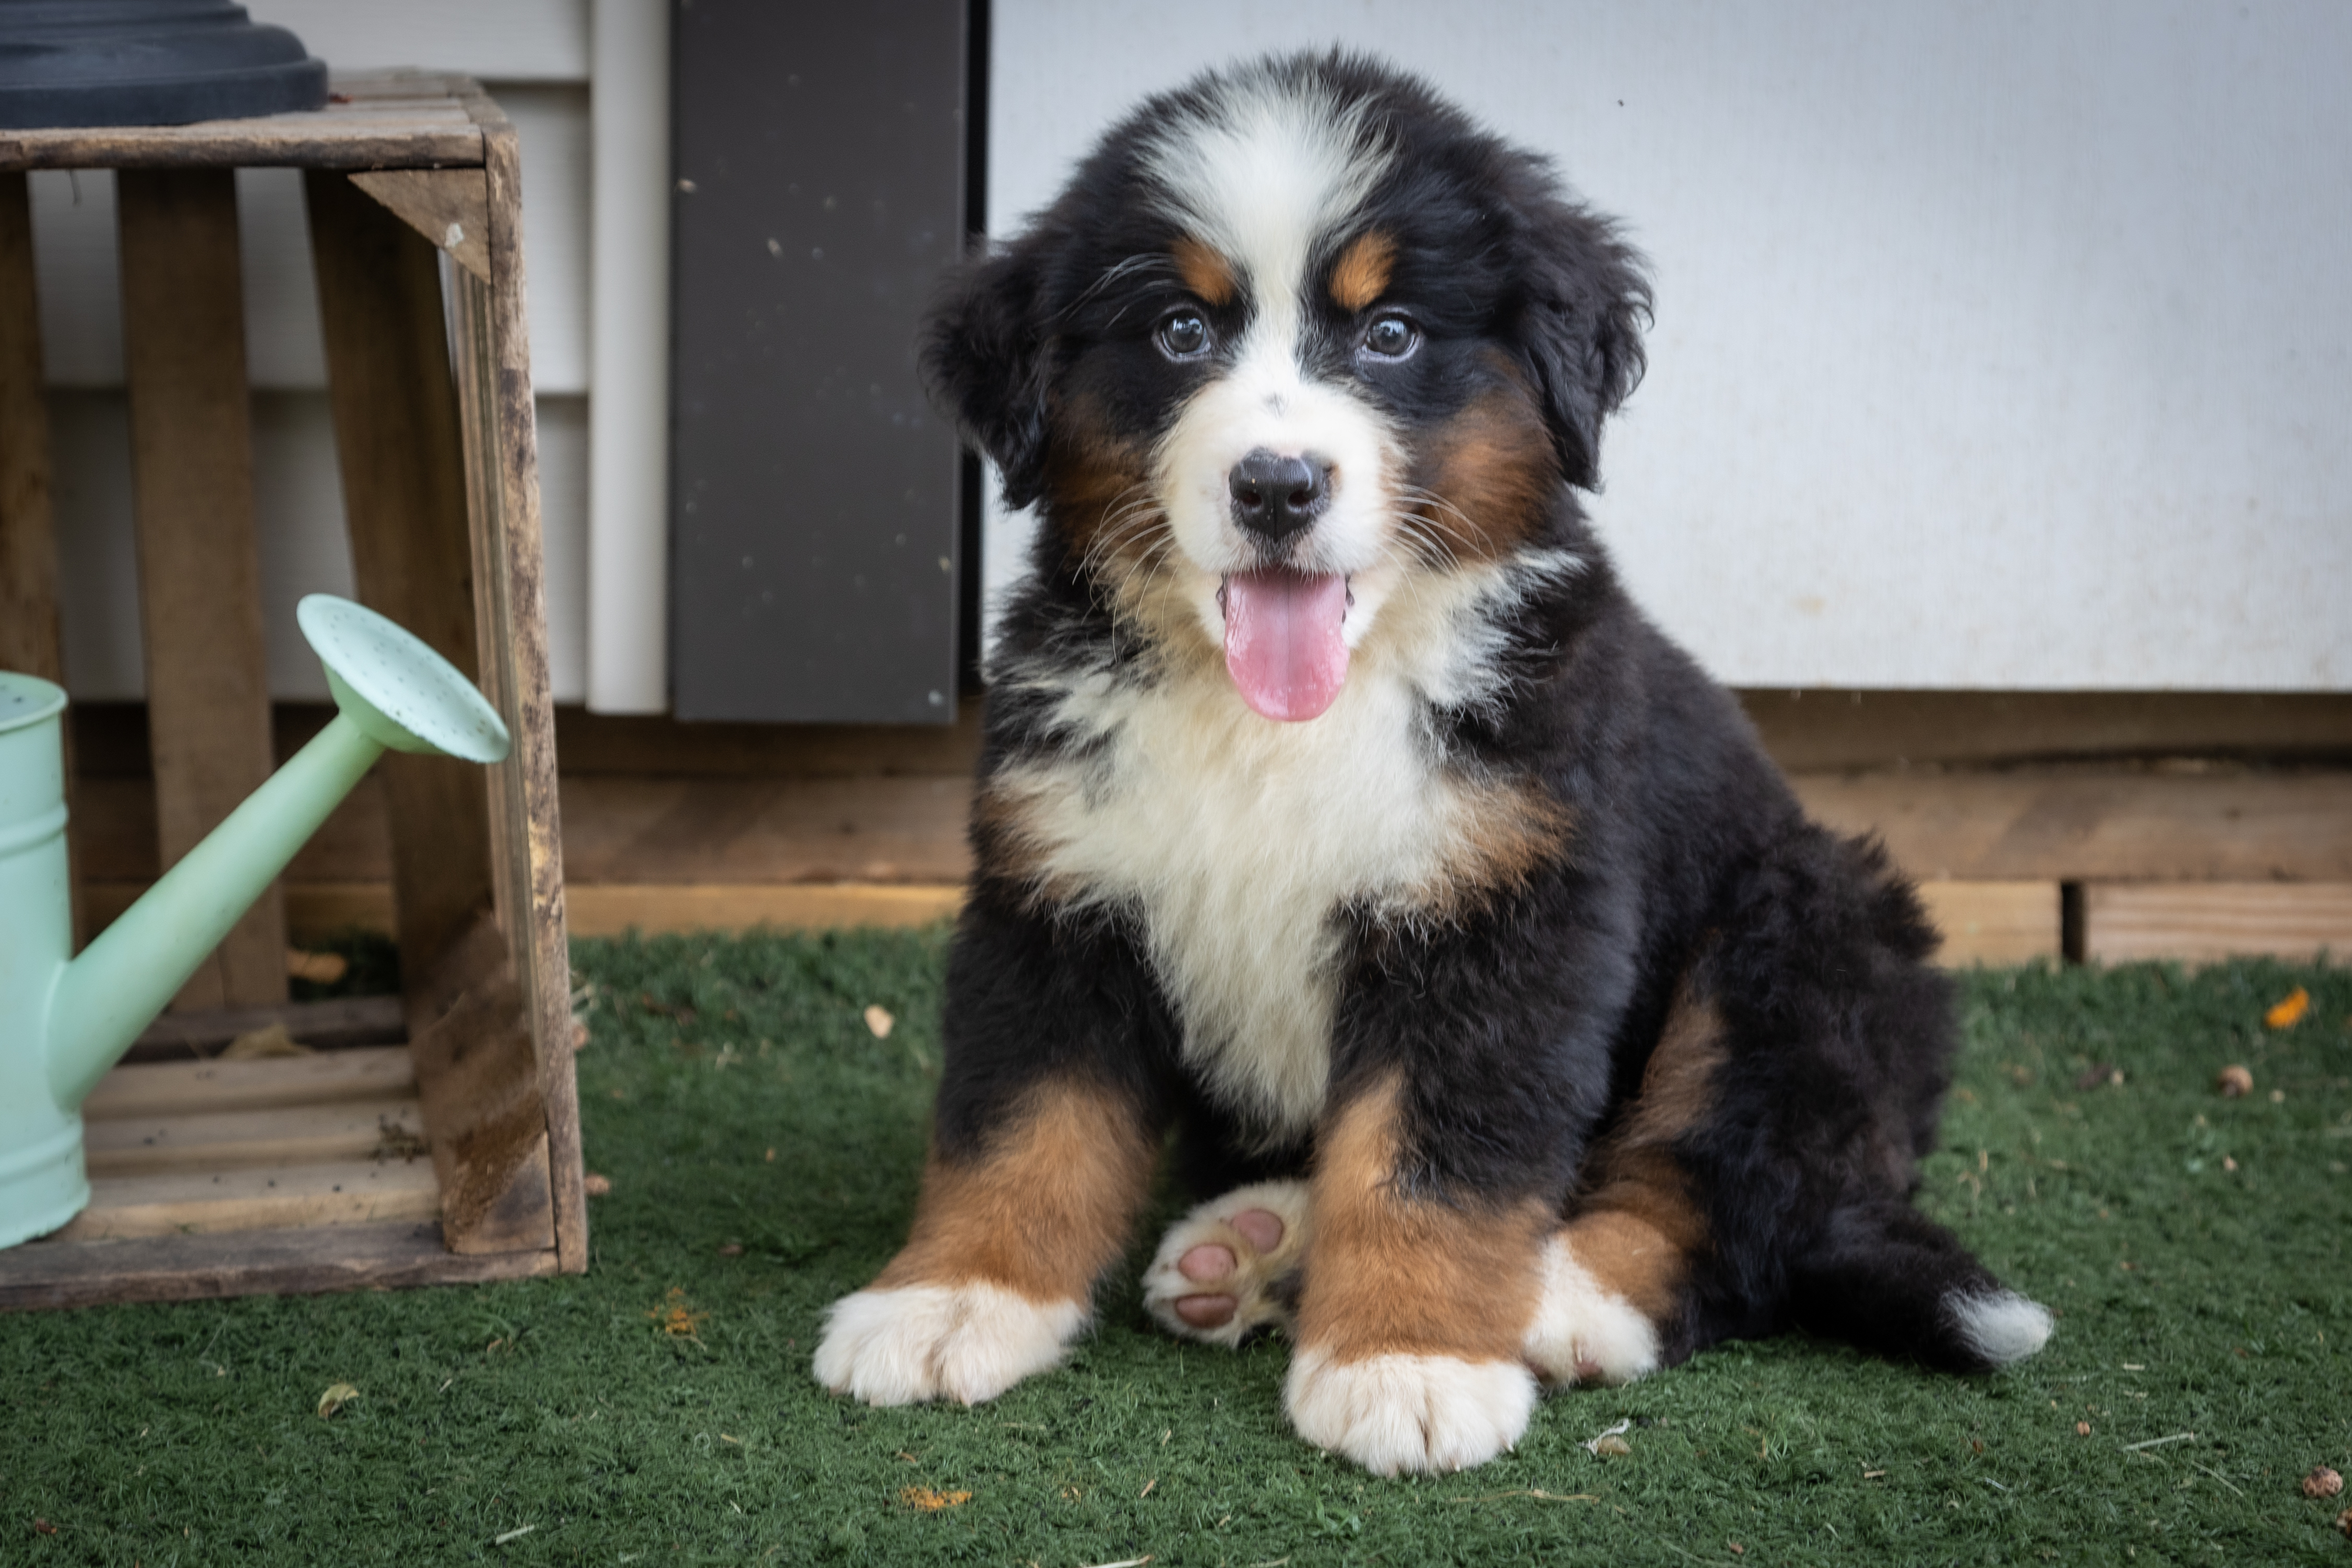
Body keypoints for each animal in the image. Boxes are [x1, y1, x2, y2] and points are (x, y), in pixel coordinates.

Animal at [814, 46, 2060, 1476]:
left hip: (1798, 932)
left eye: (1392, 334)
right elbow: (1019, 1120)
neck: (1287, 719)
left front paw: (1408, 1362)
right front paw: (952, 1300)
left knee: (1734, 1181)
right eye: (1179, 332)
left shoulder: (1505, 911)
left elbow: (1433, 1155)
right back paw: (1257, 1244)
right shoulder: (1060, 885)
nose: (1277, 486)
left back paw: (1568, 1294)